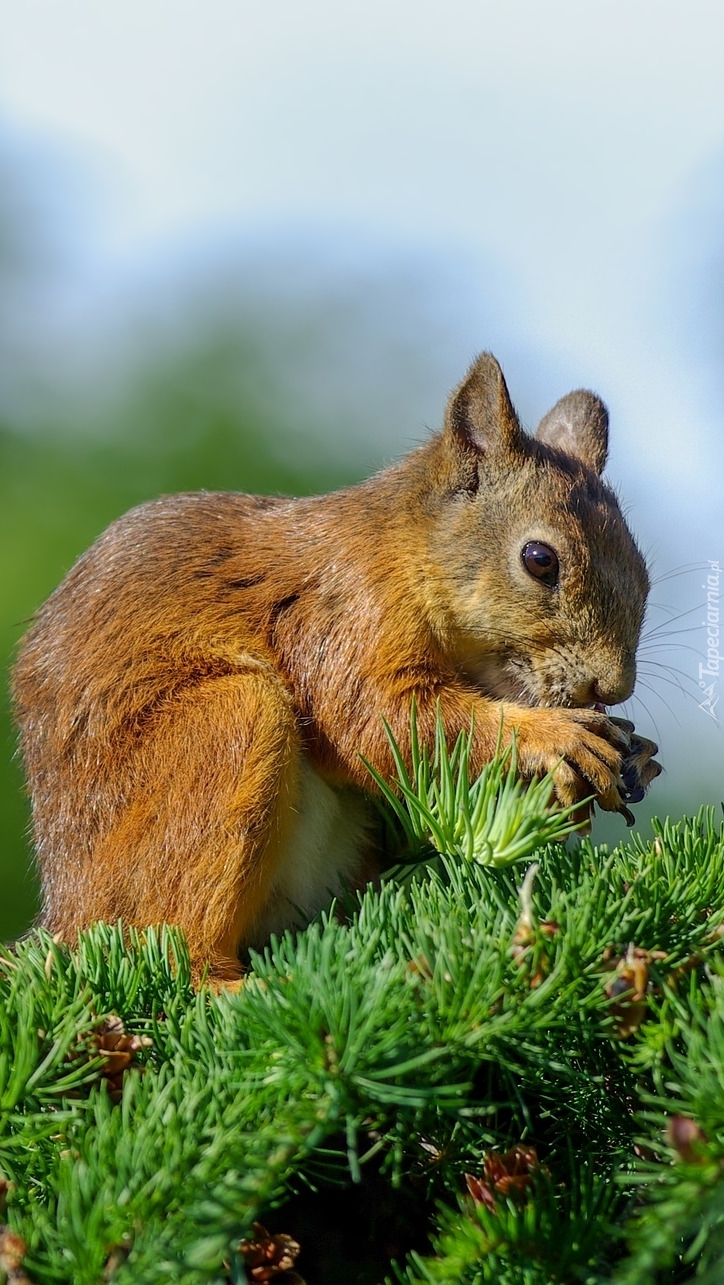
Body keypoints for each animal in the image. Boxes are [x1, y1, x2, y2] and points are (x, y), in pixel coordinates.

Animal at [11, 354, 663, 981]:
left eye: (643, 568)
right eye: (539, 559)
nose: (613, 686)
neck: (405, 552)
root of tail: (65, 913)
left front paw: (636, 755)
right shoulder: (345, 610)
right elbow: (378, 719)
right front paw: (555, 737)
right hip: (224, 727)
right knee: (170, 946)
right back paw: (240, 985)